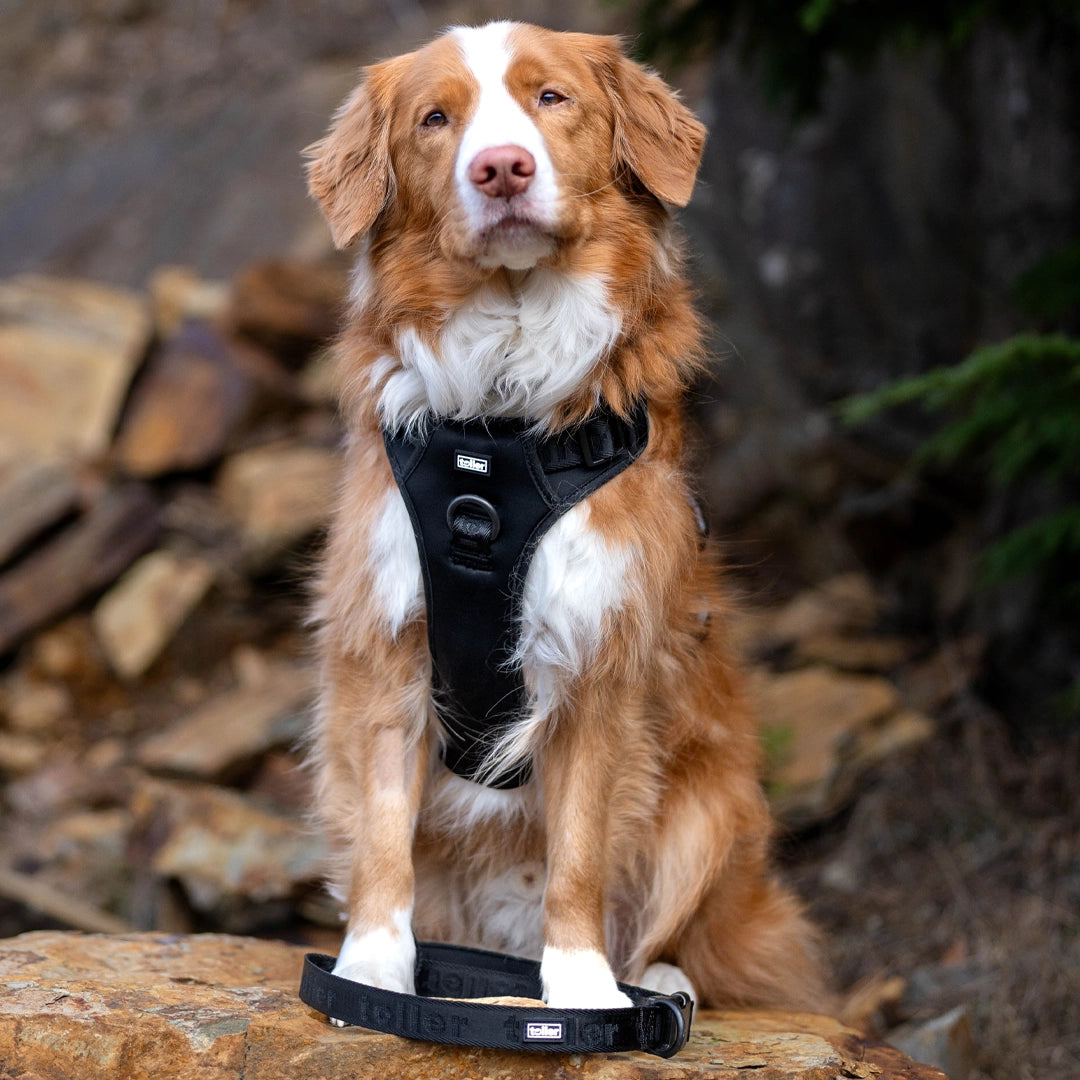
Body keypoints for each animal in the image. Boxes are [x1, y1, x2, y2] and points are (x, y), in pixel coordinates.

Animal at [304, 21, 825, 1015]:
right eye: (436, 120)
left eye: (552, 99)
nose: (501, 168)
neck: (497, 432)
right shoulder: (385, 650)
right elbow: (382, 834)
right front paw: (372, 973)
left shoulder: (597, 662)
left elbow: (581, 850)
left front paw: (582, 989)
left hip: (712, 804)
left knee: (690, 930)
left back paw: (659, 980)